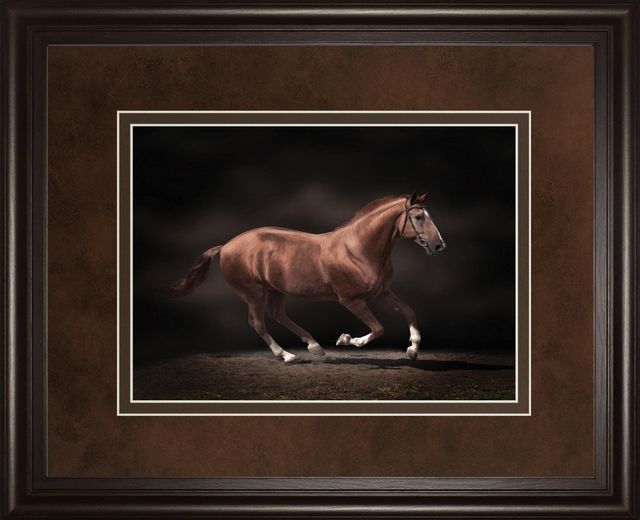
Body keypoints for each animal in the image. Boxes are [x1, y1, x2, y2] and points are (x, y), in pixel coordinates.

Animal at [171, 192, 446, 363]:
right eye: (419, 217)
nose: (439, 245)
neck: (359, 248)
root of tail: (226, 245)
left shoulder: (381, 292)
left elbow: (409, 311)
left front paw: (413, 349)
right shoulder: (351, 300)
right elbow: (378, 329)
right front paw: (346, 340)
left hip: (275, 290)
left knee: (277, 315)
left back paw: (314, 346)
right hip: (254, 293)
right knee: (257, 323)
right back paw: (287, 356)